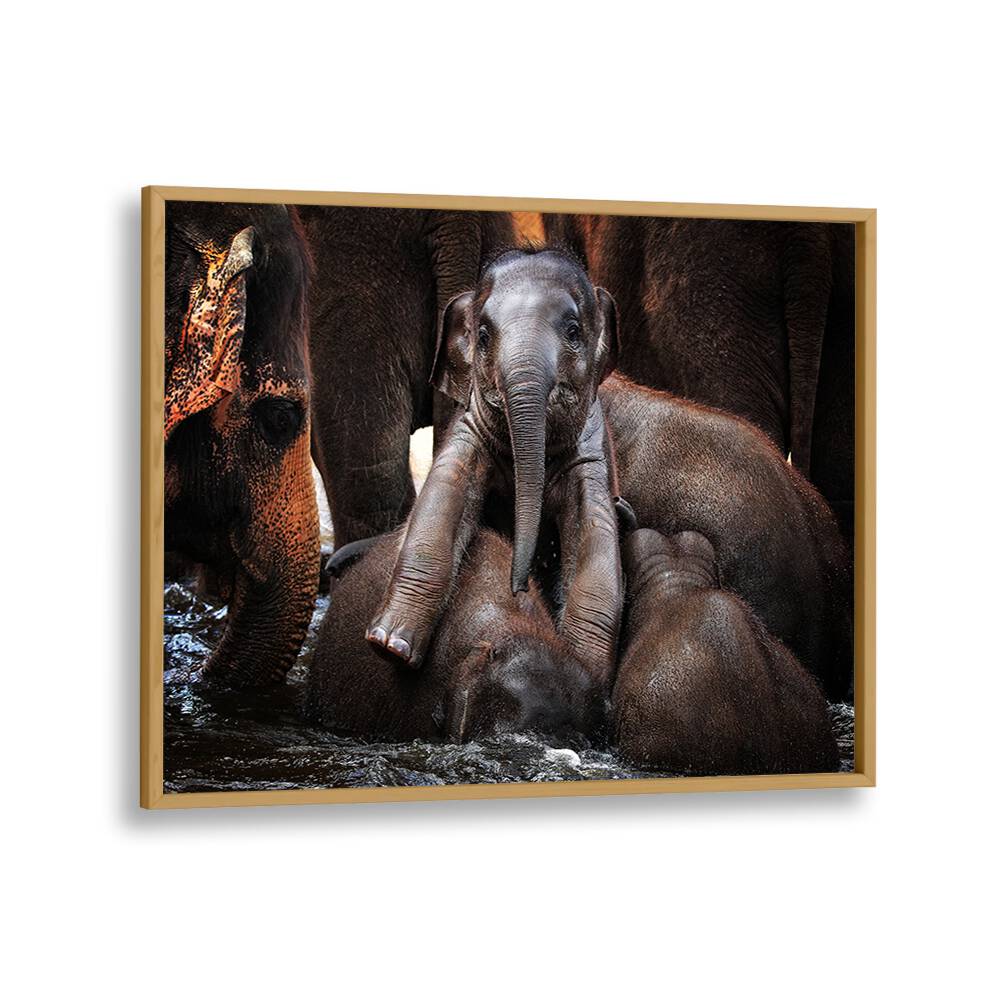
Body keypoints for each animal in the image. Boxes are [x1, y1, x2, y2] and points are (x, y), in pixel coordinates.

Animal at [364, 247, 624, 687]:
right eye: (483, 335)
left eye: (573, 331)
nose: (519, 587)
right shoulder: (468, 430)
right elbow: (443, 497)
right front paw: (389, 646)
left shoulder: (591, 454)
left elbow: (596, 536)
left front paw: (582, 671)